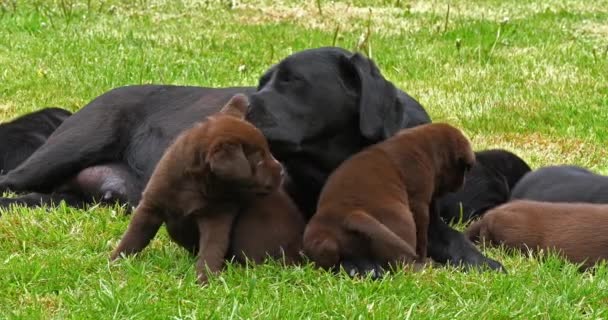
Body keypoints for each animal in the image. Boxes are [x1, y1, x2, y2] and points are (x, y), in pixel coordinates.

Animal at [109, 94, 304, 284]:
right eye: (260, 160)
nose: (282, 171)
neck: (193, 184)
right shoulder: (152, 203)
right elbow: (134, 236)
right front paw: (115, 261)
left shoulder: (217, 215)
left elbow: (211, 248)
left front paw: (205, 278)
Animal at [304, 122, 476, 272]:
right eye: (465, 169)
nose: (464, 183)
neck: (427, 146)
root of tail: (349, 216)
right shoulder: (419, 203)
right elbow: (422, 237)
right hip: (403, 220)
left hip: (321, 241)